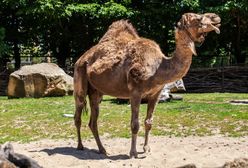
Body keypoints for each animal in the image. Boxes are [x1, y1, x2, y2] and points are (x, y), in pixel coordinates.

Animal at [73, 12, 221, 158]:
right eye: (198, 18)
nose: (216, 18)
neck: (159, 67)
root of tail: (81, 59)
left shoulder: (156, 93)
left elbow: (148, 122)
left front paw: (146, 148)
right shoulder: (135, 92)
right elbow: (135, 124)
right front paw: (133, 153)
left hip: (96, 92)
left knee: (93, 121)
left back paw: (103, 150)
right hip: (80, 78)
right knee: (78, 114)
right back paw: (80, 146)